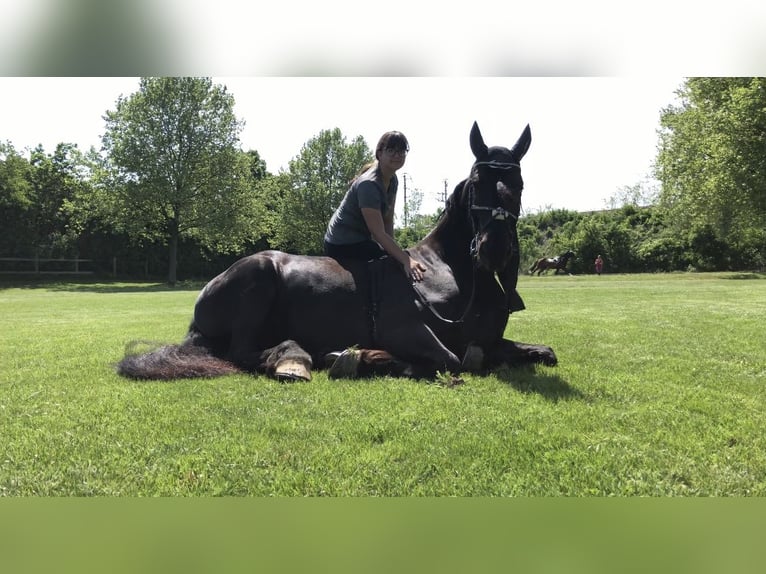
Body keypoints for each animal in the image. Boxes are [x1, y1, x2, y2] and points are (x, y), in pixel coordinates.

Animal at [117, 121, 557, 382]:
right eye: (479, 180)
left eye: (518, 183)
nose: (494, 250)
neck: (446, 273)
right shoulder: (404, 329)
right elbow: (449, 359)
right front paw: (364, 358)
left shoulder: (489, 340)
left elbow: (543, 352)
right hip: (258, 277)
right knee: (241, 351)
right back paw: (295, 359)